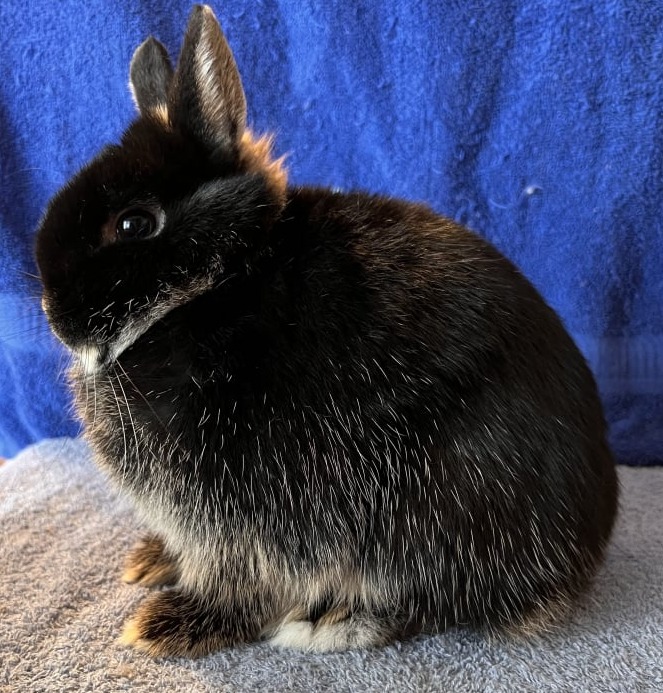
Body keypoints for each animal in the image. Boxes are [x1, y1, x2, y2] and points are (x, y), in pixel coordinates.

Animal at [35, 4, 616, 656]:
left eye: (134, 223)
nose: (55, 317)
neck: (218, 281)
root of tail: (583, 550)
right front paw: (153, 560)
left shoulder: (245, 509)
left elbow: (241, 580)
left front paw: (172, 625)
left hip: (441, 505)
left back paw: (333, 621)